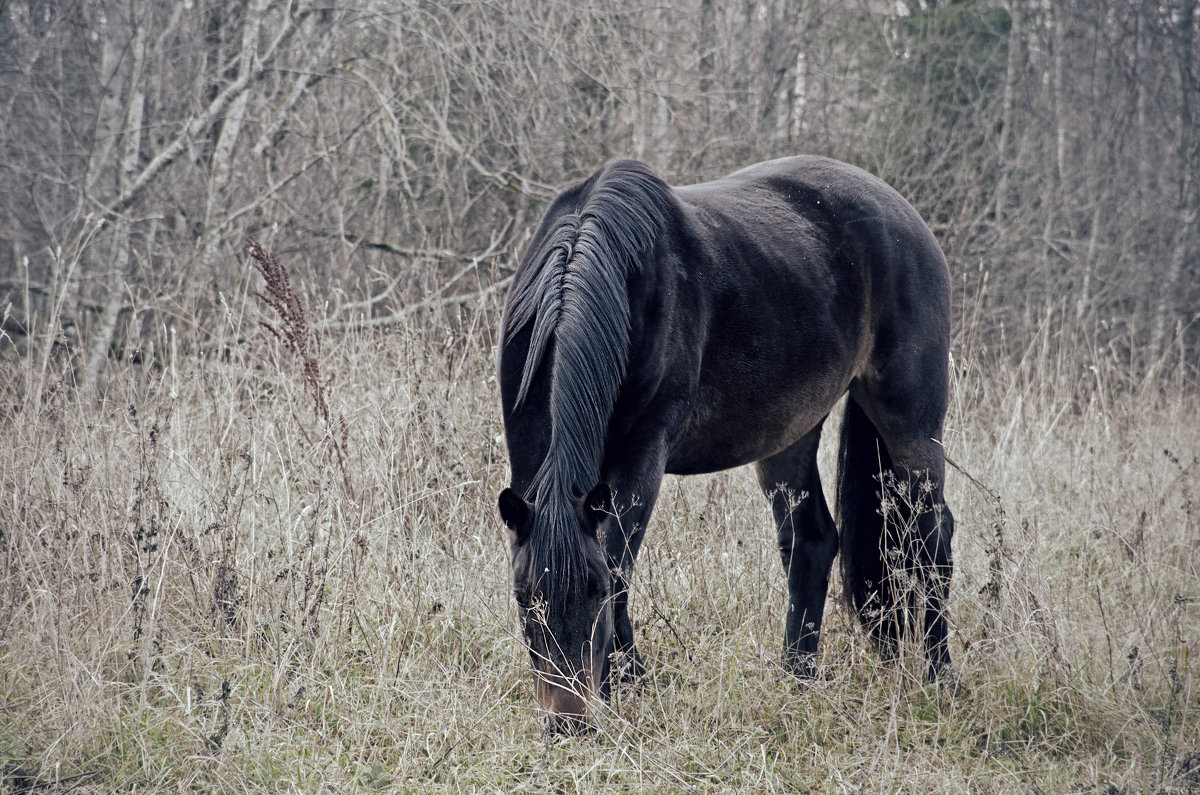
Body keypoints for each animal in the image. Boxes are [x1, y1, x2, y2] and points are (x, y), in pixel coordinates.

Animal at [496, 156, 955, 734]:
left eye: (593, 589)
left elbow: (622, 565)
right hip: (790, 432)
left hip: (911, 422)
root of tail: (903, 212)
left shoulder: (640, 460)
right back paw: (796, 679)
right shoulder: (530, 462)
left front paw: (629, 682)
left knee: (932, 536)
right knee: (812, 540)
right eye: (522, 597)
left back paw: (939, 677)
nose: (568, 722)